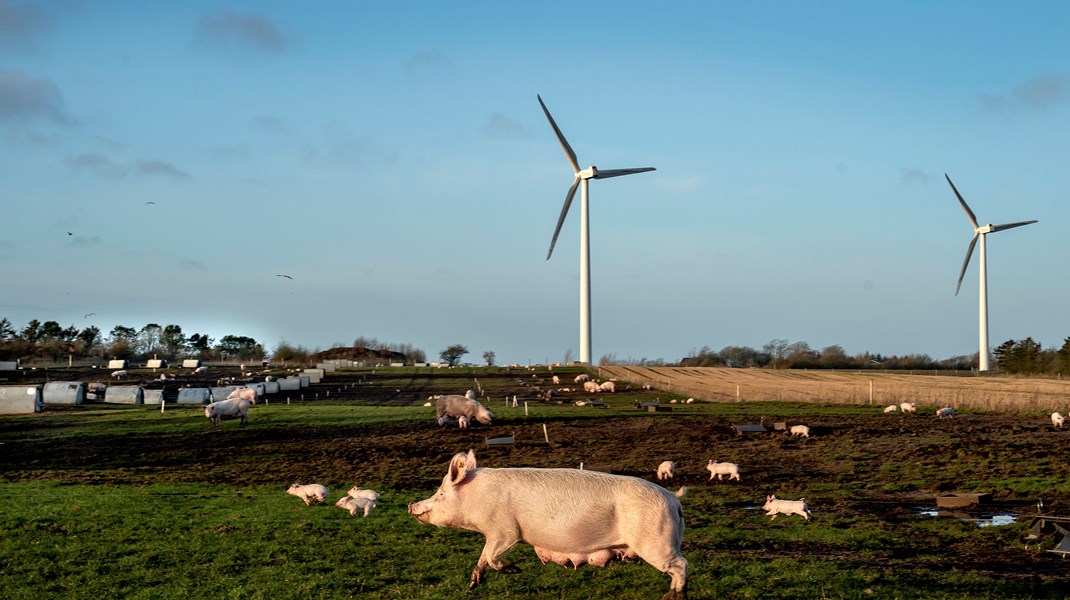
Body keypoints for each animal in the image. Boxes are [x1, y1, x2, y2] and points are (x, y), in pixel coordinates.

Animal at [404, 447, 689, 594]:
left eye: (441, 493)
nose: (410, 505)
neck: (477, 499)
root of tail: (673, 499)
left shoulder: (505, 531)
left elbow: (493, 557)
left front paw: (515, 570)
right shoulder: (492, 535)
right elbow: (483, 557)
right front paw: (472, 586)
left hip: (655, 542)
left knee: (681, 566)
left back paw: (673, 596)